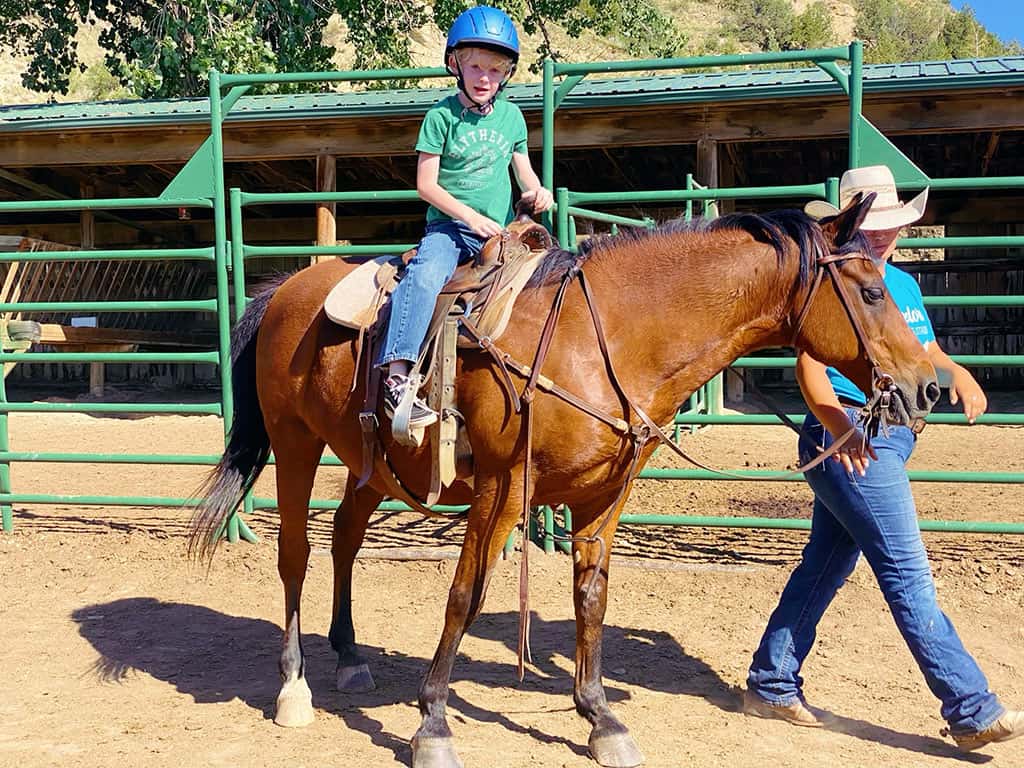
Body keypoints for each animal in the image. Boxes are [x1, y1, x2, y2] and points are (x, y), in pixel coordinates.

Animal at [190, 195, 937, 765]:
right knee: (295, 552)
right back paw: (294, 686)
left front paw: (600, 717)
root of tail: (286, 289)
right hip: (295, 443)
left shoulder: (604, 496)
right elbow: (465, 596)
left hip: (371, 460)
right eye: (872, 290)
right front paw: (432, 723)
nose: (926, 387)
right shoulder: (500, 488)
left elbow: (591, 598)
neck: (603, 336)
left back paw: (348, 656)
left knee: (344, 536)